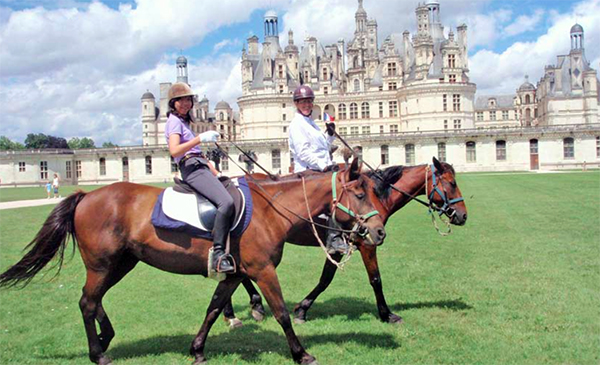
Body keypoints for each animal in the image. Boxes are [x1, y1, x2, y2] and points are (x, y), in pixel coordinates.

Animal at [0, 159, 384, 364]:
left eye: (373, 191)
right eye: (359, 193)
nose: (379, 232)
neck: (269, 209)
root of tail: (86, 196)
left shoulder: (235, 273)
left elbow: (214, 309)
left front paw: (197, 349)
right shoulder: (262, 270)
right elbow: (282, 313)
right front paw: (301, 353)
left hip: (121, 263)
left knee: (93, 300)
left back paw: (106, 337)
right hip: (102, 264)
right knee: (87, 301)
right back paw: (99, 351)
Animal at [223, 156, 466, 324]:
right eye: (452, 183)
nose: (463, 215)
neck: (376, 196)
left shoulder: (338, 247)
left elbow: (325, 279)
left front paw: (302, 309)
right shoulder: (367, 244)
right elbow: (375, 279)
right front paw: (387, 314)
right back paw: (244, 309)